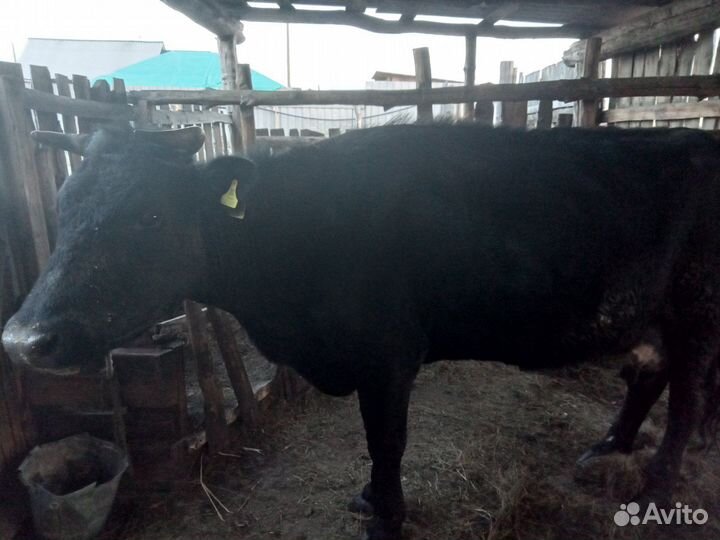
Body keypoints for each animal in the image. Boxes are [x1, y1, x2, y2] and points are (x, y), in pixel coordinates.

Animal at [3, 125, 720, 540]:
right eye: (63, 208)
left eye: (149, 215)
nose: (23, 340)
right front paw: (371, 501)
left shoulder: (387, 356)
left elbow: (386, 442)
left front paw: (386, 516)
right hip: (655, 315)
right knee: (649, 375)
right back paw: (608, 448)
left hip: (699, 313)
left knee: (687, 401)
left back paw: (657, 486)